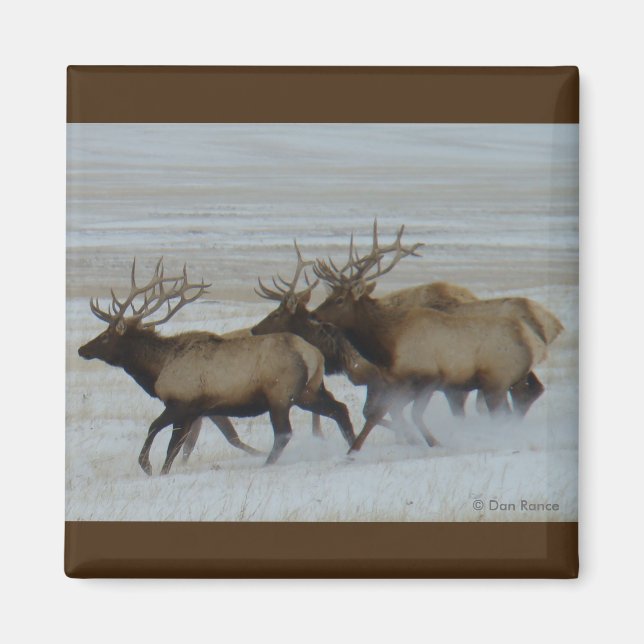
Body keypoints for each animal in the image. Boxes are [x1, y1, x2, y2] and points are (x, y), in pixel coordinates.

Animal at [77, 259, 355, 474]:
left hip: (280, 394)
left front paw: (148, 466)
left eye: (106, 336)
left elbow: (159, 433)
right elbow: (176, 447)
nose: (82, 350)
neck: (157, 369)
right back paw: (353, 447)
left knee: (284, 432)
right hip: (309, 391)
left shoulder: (181, 403)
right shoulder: (195, 411)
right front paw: (160, 469)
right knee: (340, 409)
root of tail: (314, 354)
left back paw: (267, 464)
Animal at [312, 224, 549, 452]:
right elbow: (376, 414)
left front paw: (434, 442)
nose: (313, 315)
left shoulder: (430, 377)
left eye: (340, 299)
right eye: (328, 295)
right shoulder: (396, 382)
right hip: (506, 382)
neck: (388, 346)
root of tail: (535, 345)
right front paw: (352, 452)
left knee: (506, 411)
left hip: (496, 382)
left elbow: (413, 414)